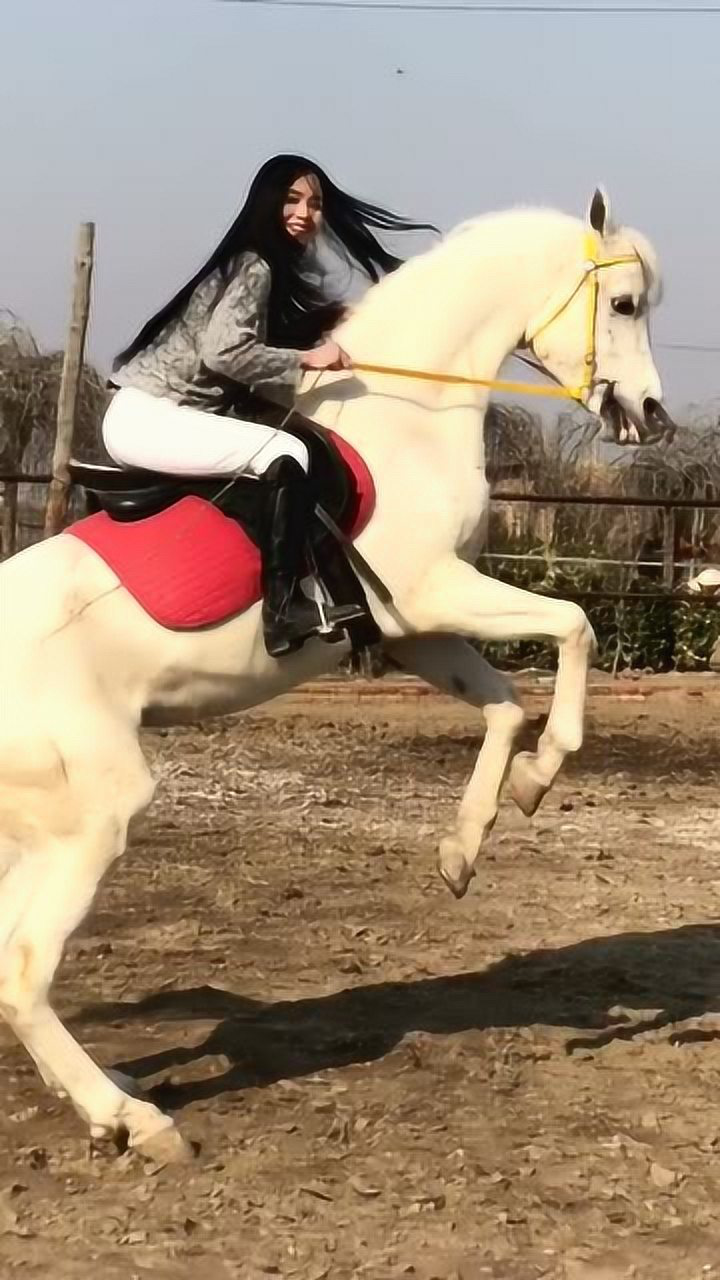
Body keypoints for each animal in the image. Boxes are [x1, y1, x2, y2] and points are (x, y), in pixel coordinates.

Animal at [0, 190, 677, 1162]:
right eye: (623, 305)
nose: (650, 415)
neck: (411, 416)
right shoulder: (435, 592)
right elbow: (576, 630)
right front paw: (542, 780)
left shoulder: (413, 628)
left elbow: (505, 706)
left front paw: (466, 848)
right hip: (91, 812)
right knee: (23, 969)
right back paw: (136, 1120)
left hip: (37, 828)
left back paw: (110, 1094)